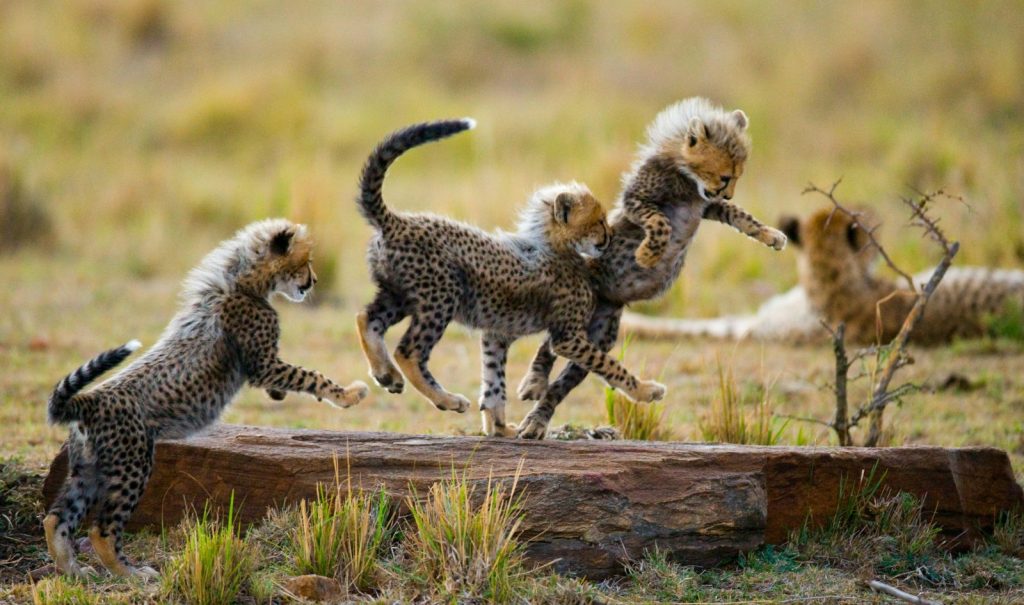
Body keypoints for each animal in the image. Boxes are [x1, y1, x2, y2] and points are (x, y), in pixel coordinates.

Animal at [43, 218, 368, 579]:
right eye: (306, 261)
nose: (314, 281)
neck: (240, 282)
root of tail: (89, 399)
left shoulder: (265, 365)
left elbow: (296, 378)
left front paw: (284, 394)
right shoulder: (264, 365)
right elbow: (311, 376)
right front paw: (349, 394)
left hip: (87, 470)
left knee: (55, 518)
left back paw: (72, 569)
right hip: (132, 465)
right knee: (102, 529)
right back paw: (133, 574)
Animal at [353, 119, 666, 437]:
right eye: (599, 221)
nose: (611, 235)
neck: (559, 247)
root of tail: (397, 221)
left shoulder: (497, 334)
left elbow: (494, 384)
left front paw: (501, 428)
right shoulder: (567, 337)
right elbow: (608, 364)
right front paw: (645, 390)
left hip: (399, 295)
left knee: (367, 319)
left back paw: (386, 374)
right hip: (441, 298)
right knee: (409, 351)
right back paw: (446, 399)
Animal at [513, 97, 787, 439]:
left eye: (739, 175)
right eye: (726, 176)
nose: (728, 190)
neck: (686, 177)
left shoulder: (709, 206)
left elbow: (741, 216)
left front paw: (771, 235)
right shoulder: (638, 200)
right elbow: (661, 223)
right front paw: (647, 255)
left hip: (598, 333)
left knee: (562, 368)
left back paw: (538, 413)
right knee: (551, 346)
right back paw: (534, 384)